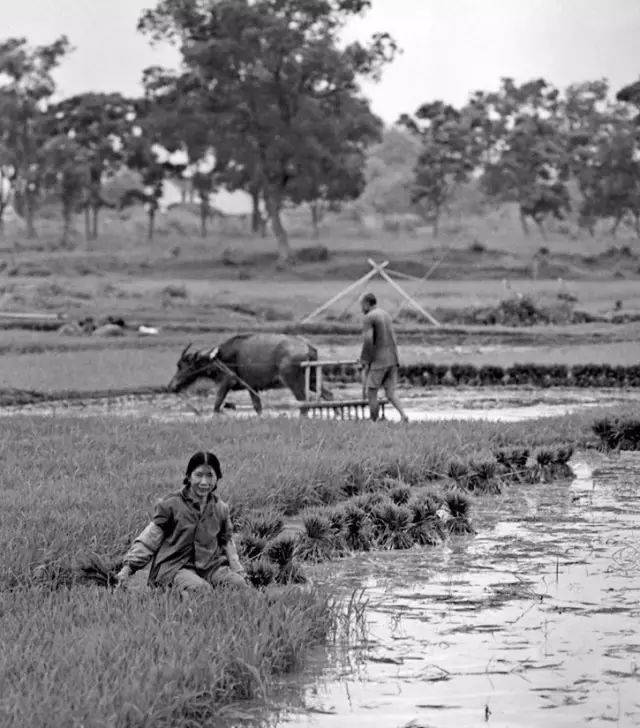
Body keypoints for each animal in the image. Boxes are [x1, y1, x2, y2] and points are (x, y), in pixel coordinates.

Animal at [168, 332, 332, 412]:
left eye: (181, 365)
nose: (171, 386)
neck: (218, 358)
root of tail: (308, 346)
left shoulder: (227, 381)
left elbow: (217, 403)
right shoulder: (252, 387)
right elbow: (257, 407)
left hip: (293, 381)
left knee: (304, 402)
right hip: (312, 379)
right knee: (328, 395)